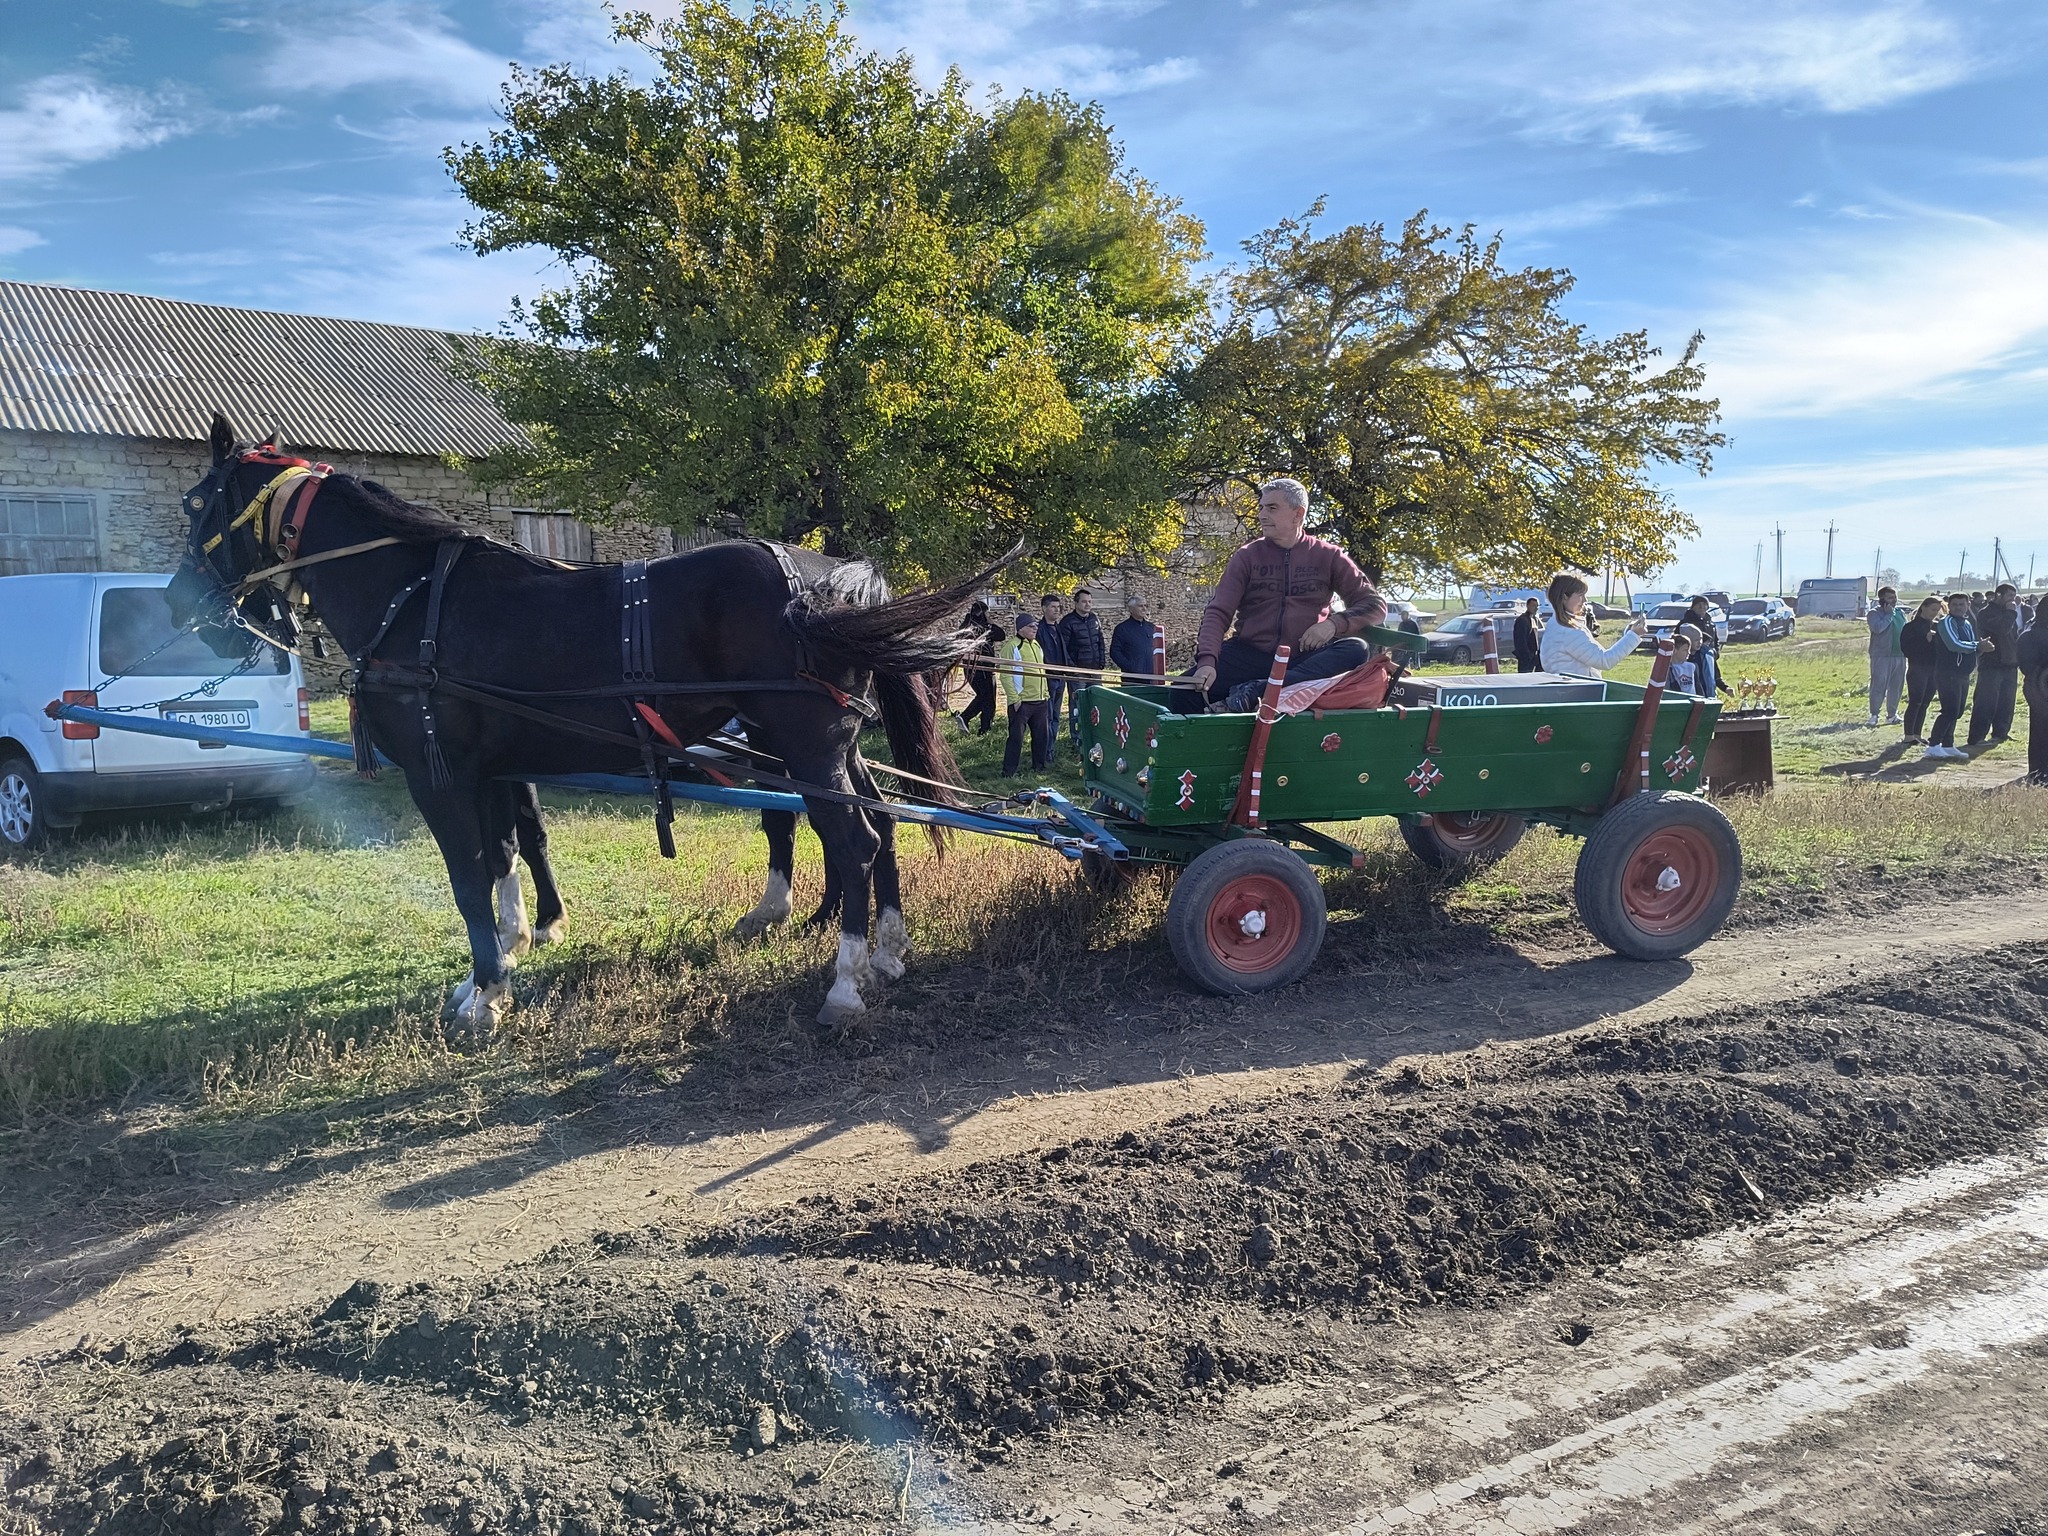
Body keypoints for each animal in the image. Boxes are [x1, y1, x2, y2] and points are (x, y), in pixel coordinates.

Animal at [172, 415, 1003, 1036]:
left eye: (193, 501)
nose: (188, 608)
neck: (409, 597)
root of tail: (831, 578)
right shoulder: (487, 770)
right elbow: (502, 857)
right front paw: (499, 968)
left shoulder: (438, 775)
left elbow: (468, 880)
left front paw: (484, 995)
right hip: (835, 746)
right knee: (883, 823)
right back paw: (889, 950)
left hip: (802, 743)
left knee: (853, 839)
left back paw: (845, 983)